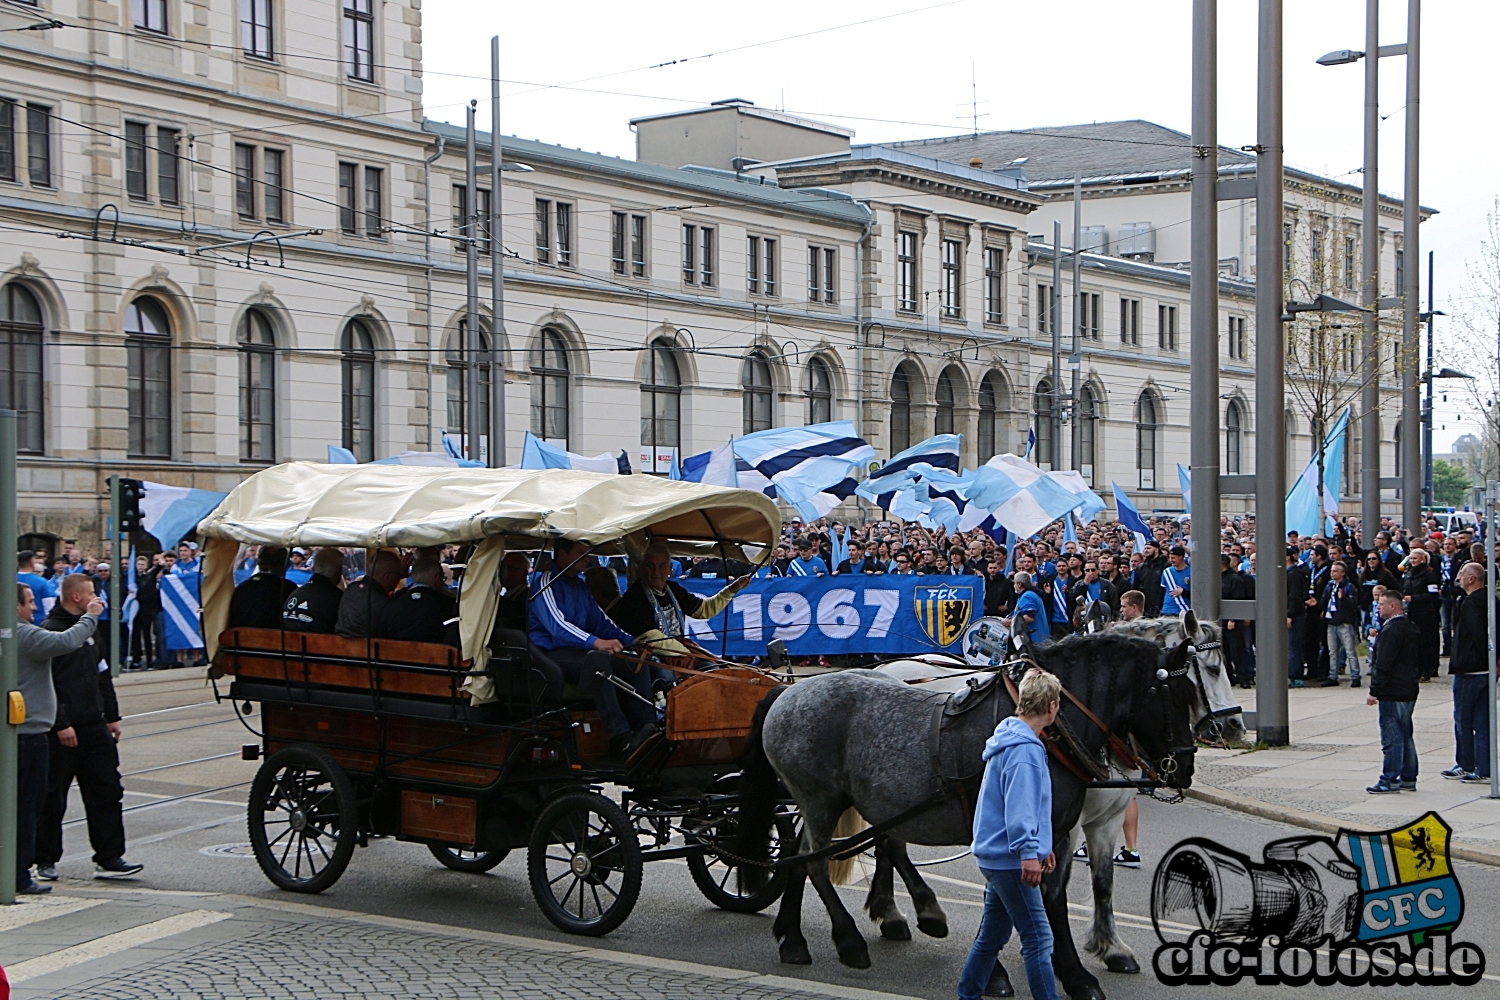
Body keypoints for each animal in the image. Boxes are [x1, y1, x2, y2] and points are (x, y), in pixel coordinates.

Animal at [726, 638, 1194, 995]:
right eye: (1177, 697)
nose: (1184, 770)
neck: (1046, 730)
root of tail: (788, 692)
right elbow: (1011, 900)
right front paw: (1003, 974)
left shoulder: (1056, 833)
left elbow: (1053, 899)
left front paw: (1072, 973)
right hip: (820, 799)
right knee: (816, 863)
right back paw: (850, 939)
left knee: (803, 858)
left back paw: (794, 938)